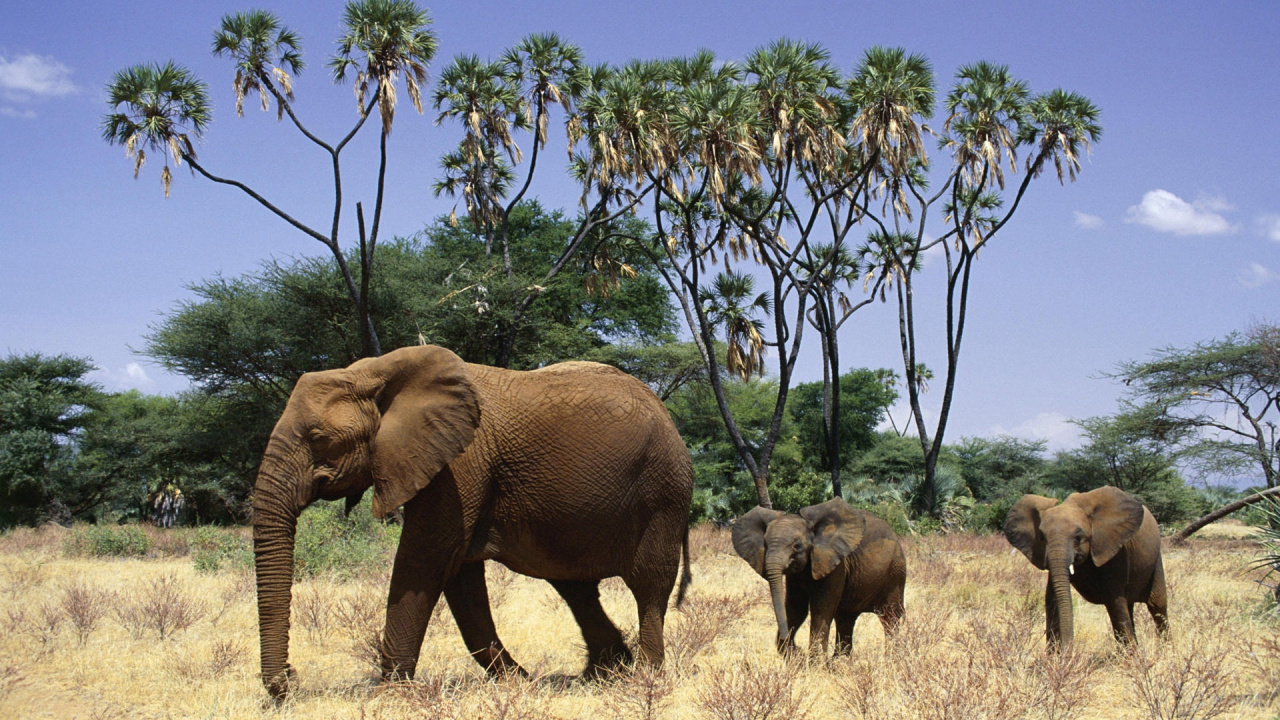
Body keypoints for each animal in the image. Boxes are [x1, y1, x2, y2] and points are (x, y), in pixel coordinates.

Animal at [251, 345, 694, 699]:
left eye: (318, 438)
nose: (289, 679)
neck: (373, 372)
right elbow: (460, 577)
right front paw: (517, 683)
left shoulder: (460, 462)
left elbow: (426, 558)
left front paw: (388, 694)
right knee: (574, 586)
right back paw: (602, 673)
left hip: (663, 491)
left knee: (648, 584)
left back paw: (644, 677)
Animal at [731, 498, 906, 657]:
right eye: (765, 544)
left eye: (796, 546)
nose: (796, 648)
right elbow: (796, 609)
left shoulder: (835, 564)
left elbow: (820, 609)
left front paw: (814, 662)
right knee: (846, 618)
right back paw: (840, 662)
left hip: (896, 573)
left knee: (890, 617)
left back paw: (892, 658)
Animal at [1004, 486, 1169, 648]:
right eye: (1042, 537)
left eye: (1078, 537)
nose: (1068, 649)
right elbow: (1052, 600)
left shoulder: (1115, 550)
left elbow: (1114, 601)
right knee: (1129, 606)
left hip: (1156, 560)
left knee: (1156, 605)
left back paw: (1165, 648)